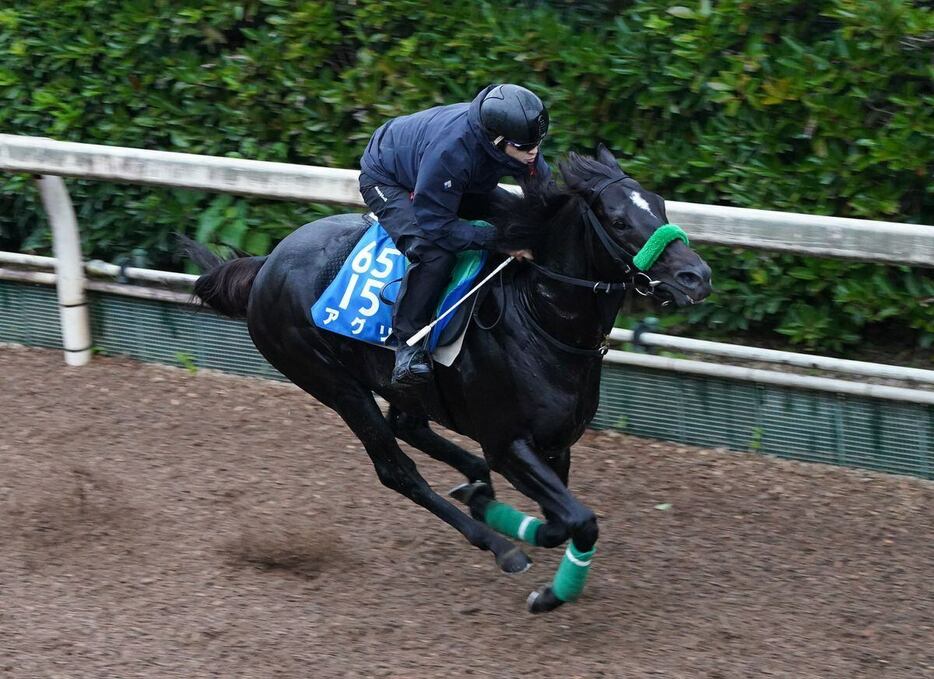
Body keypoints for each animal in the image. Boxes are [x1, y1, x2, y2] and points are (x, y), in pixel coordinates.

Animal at [192, 146, 716, 612]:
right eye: (619, 221)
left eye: (660, 205)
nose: (697, 277)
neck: (539, 318)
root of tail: (265, 266)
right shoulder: (508, 444)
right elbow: (581, 521)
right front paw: (549, 594)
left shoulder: (555, 445)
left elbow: (558, 523)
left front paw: (499, 511)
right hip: (335, 385)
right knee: (397, 470)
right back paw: (499, 546)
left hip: (399, 384)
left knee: (410, 426)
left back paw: (477, 492)